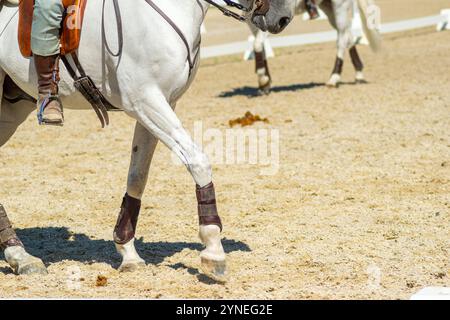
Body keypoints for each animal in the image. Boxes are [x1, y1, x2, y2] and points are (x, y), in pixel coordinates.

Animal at [0, 0, 298, 280]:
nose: (283, 17)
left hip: (12, 109)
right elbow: (197, 160)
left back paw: (20, 256)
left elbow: (138, 175)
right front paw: (214, 250)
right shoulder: (146, 100)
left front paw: (127, 250)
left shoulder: (158, 104)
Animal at [248, 0, 382, 92]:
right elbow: (261, 47)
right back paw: (358, 74)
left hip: (340, 6)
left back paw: (334, 78)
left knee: (342, 39)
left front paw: (263, 80)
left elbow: (257, 44)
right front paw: (265, 82)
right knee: (347, 35)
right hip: (328, 7)